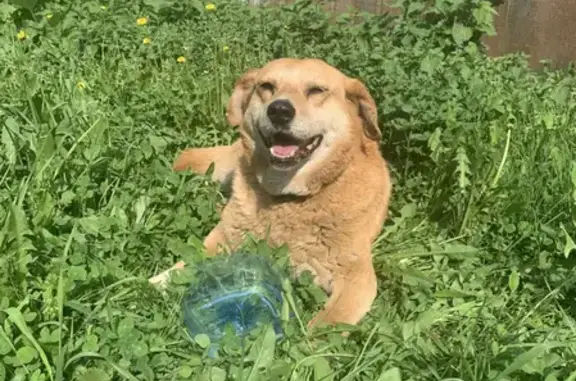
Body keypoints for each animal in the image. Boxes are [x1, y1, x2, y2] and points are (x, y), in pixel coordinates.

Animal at [171, 58, 392, 328]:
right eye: (266, 86)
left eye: (316, 90)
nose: (279, 110)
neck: (290, 198)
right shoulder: (223, 239)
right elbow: (180, 269)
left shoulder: (356, 280)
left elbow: (322, 326)